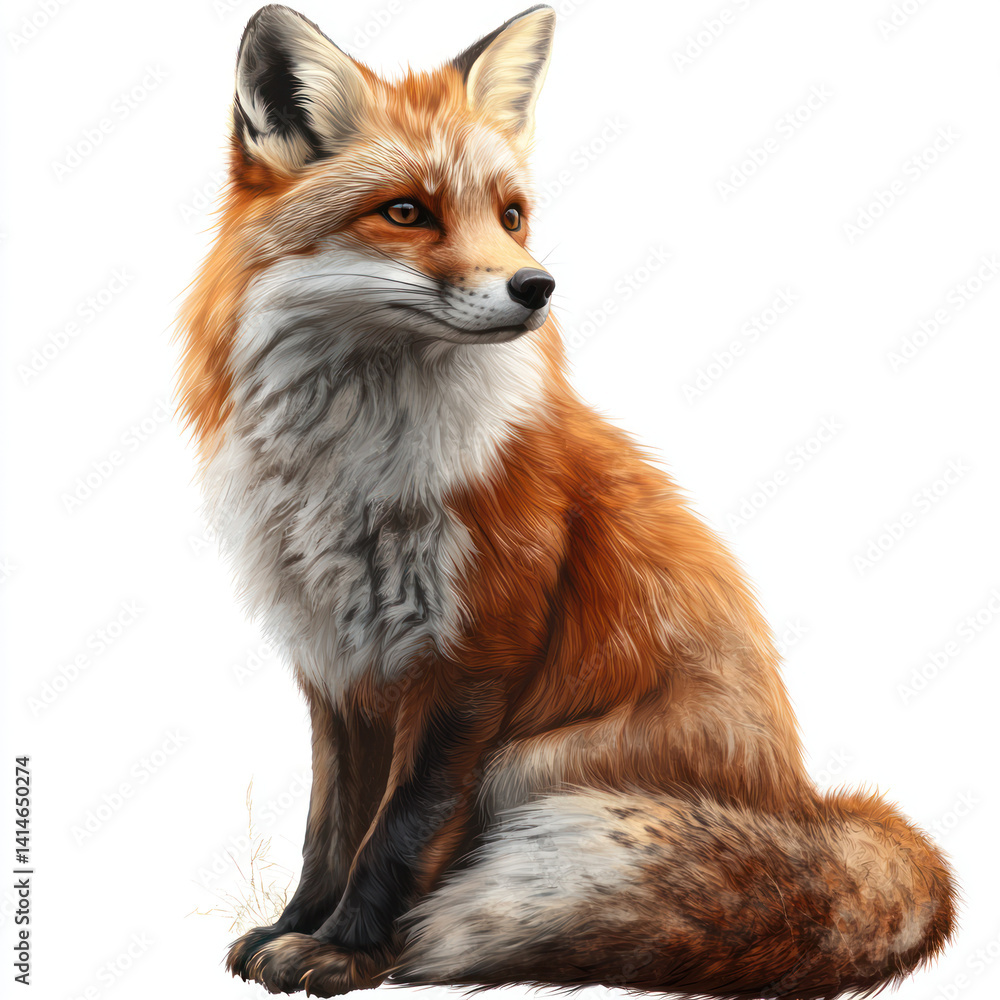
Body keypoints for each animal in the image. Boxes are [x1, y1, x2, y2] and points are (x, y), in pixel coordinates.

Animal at [175, 4, 958, 998]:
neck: (353, 471)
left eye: (511, 216)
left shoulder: (476, 652)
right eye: (406, 211)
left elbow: (398, 830)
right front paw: (295, 925)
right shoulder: (335, 666)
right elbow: (330, 824)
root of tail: (805, 801)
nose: (536, 285)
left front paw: (349, 949)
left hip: (525, 764)